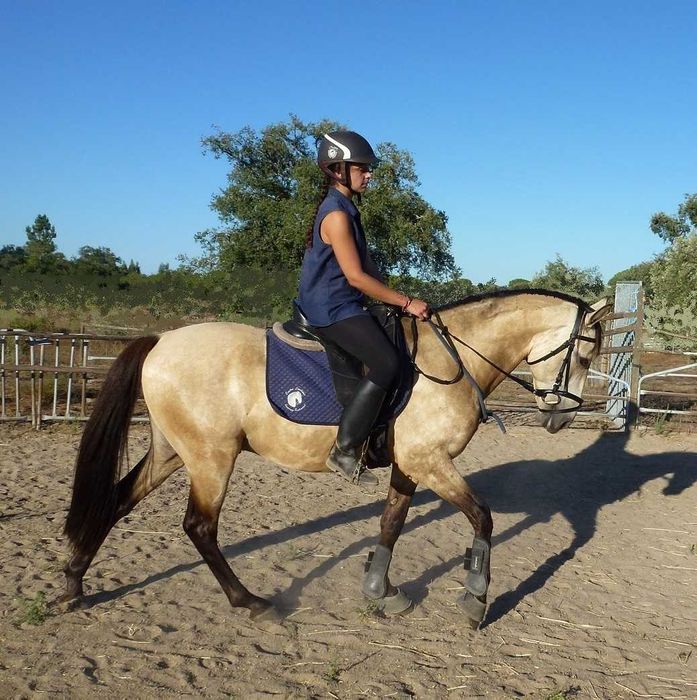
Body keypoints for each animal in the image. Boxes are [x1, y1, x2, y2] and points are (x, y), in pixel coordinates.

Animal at [62, 289, 612, 628]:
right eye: (586, 355)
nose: (562, 418)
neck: (450, 361)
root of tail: (161, 343)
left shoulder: (410, 465)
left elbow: (391, 523)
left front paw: (379, 589)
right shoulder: (432, 463)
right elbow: (483, 516)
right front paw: (475, 598)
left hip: (174, 452)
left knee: (117, 501)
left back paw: (74, 581)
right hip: (211, 458)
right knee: (199, 527)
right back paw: (252, 603)